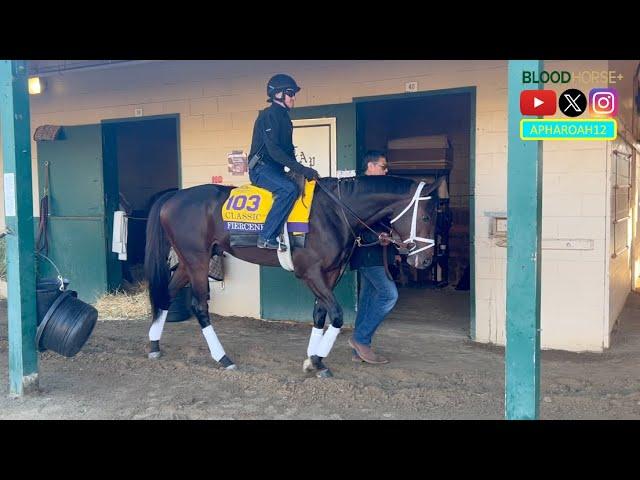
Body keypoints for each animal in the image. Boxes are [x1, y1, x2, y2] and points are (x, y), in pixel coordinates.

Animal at [143, 174, 440, 376]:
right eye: (427, 217)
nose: (426, 261)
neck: (335, 212)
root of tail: (172, 198)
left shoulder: (330, 273)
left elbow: (320, 314)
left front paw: (314, 359)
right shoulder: (311, 273)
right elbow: (337, 315)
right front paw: (318, 361)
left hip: (186, 263)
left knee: (167, 296)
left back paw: (155, 345)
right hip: (197, 261)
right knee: (198, 306)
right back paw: (223, 358)